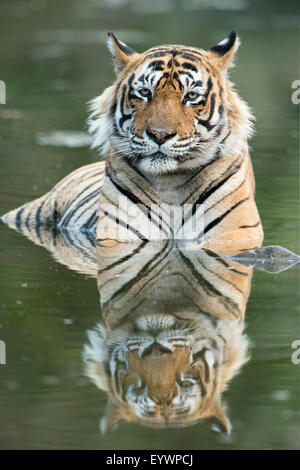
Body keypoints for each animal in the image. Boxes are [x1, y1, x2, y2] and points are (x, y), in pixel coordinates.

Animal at [1, 30, 262, 252]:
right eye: (145, 93)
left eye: (191, 96)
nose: (160, 134)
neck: (170, 184)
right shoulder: (116, 234)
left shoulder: (236, 233)